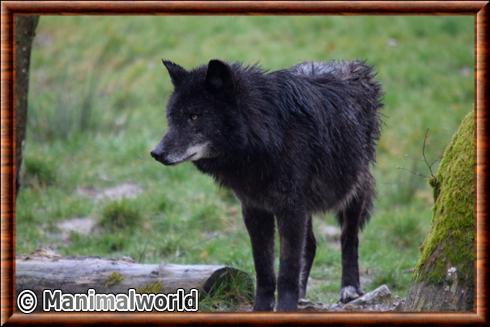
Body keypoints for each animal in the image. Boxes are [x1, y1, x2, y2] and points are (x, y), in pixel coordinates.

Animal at [150, 59, 382, 312]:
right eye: (171, 117)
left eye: (194, 116)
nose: (156, 153)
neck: (267, 136)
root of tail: (354, 64)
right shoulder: (255, 210)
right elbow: (263, 268)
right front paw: (262, 308)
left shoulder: (291, 210)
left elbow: (287, 270)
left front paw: (286, 309)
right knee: (310, 245)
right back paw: (302, 295)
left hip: (353, 191)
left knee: (349, 237)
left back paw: (349, 288)